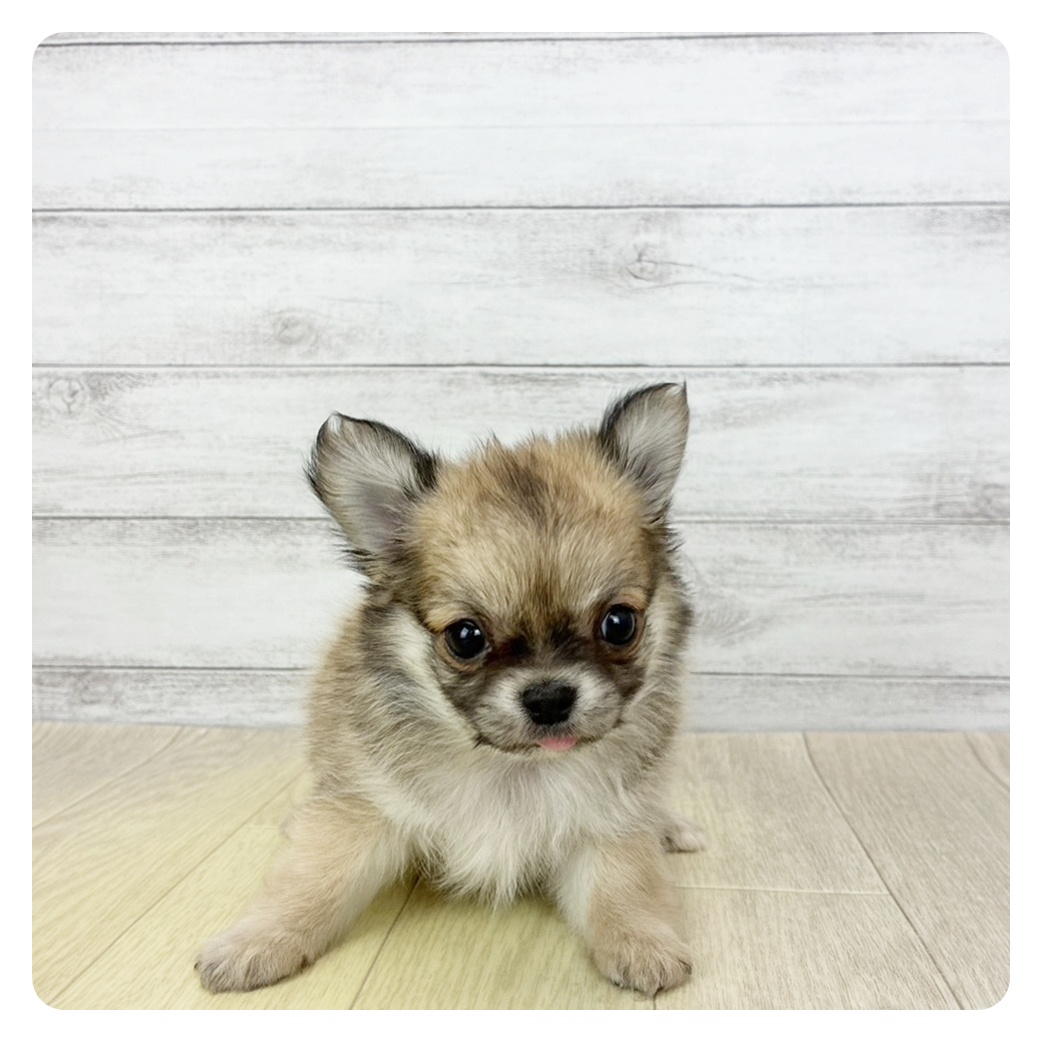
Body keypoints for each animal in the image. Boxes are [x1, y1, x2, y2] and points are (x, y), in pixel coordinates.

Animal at [197, 383, 704, 996]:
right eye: (466, 637)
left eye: (619, 624)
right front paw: (257, 942)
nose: (549, 697)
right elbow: (311, 880)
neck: (513, 769)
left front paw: (643, 942)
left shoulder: (607, 822)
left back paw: (671, 827)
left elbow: (625, 886)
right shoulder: (366, 808)